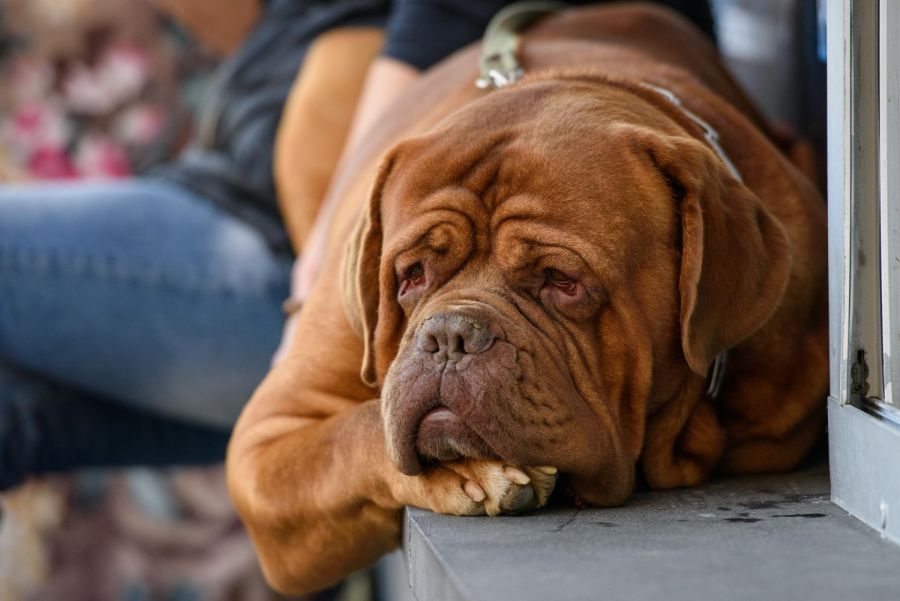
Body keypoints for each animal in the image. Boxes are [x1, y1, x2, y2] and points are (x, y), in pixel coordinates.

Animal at [227, 3, 828, 596]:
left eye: (561, 280)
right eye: (410, 274)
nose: (448, 336)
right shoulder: (263, 446)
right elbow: (352, 435)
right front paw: (468, 471)